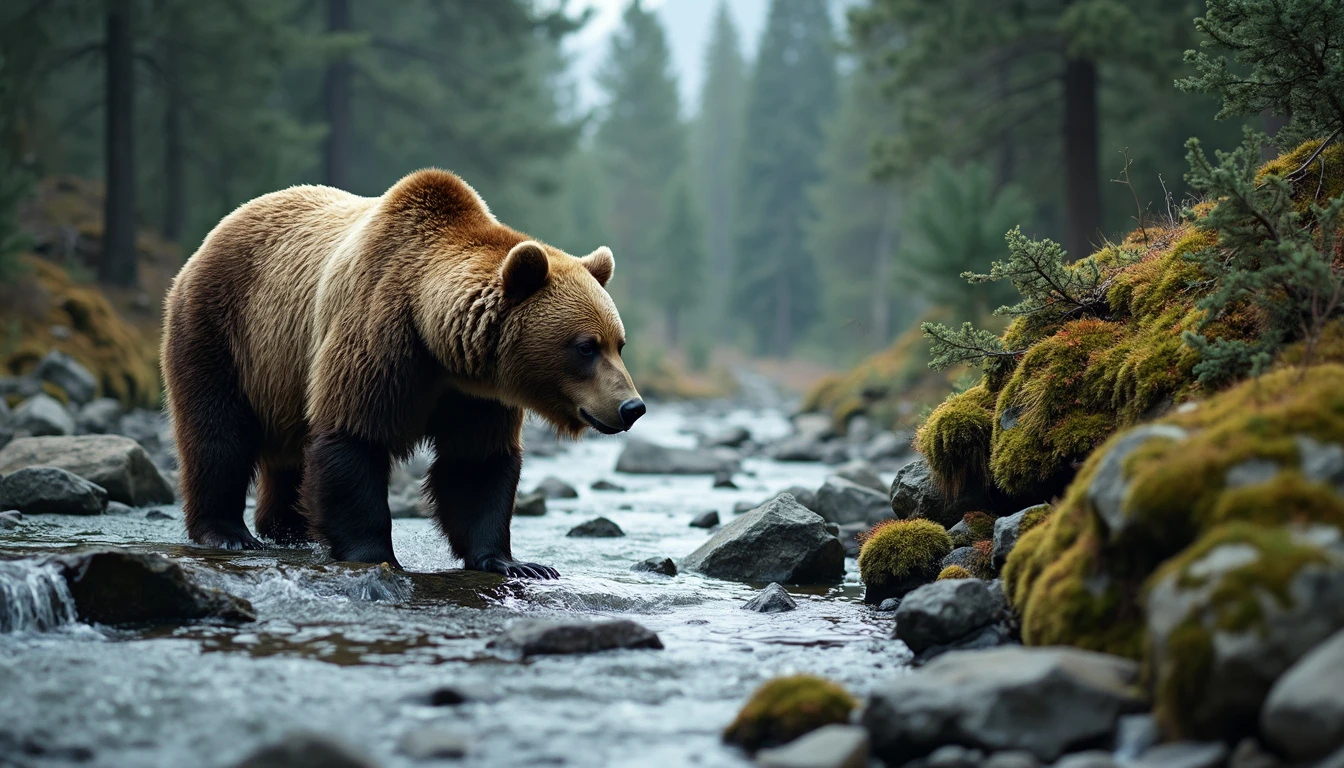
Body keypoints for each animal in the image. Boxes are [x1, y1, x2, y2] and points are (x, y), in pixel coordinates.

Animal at [162, 168, 645, 575]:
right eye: (586, 346)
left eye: (619, 343)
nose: (632, 407)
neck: (435, 340)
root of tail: (221, 228)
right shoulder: (379, 338)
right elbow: (353, 439)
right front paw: (375, 555)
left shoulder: (475, 394)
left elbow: (475, 464)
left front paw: (514, 562)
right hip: (223, 330)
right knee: (217, 432)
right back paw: (228, 532)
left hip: (282, 378)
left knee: (288, 455)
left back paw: (289, 527)